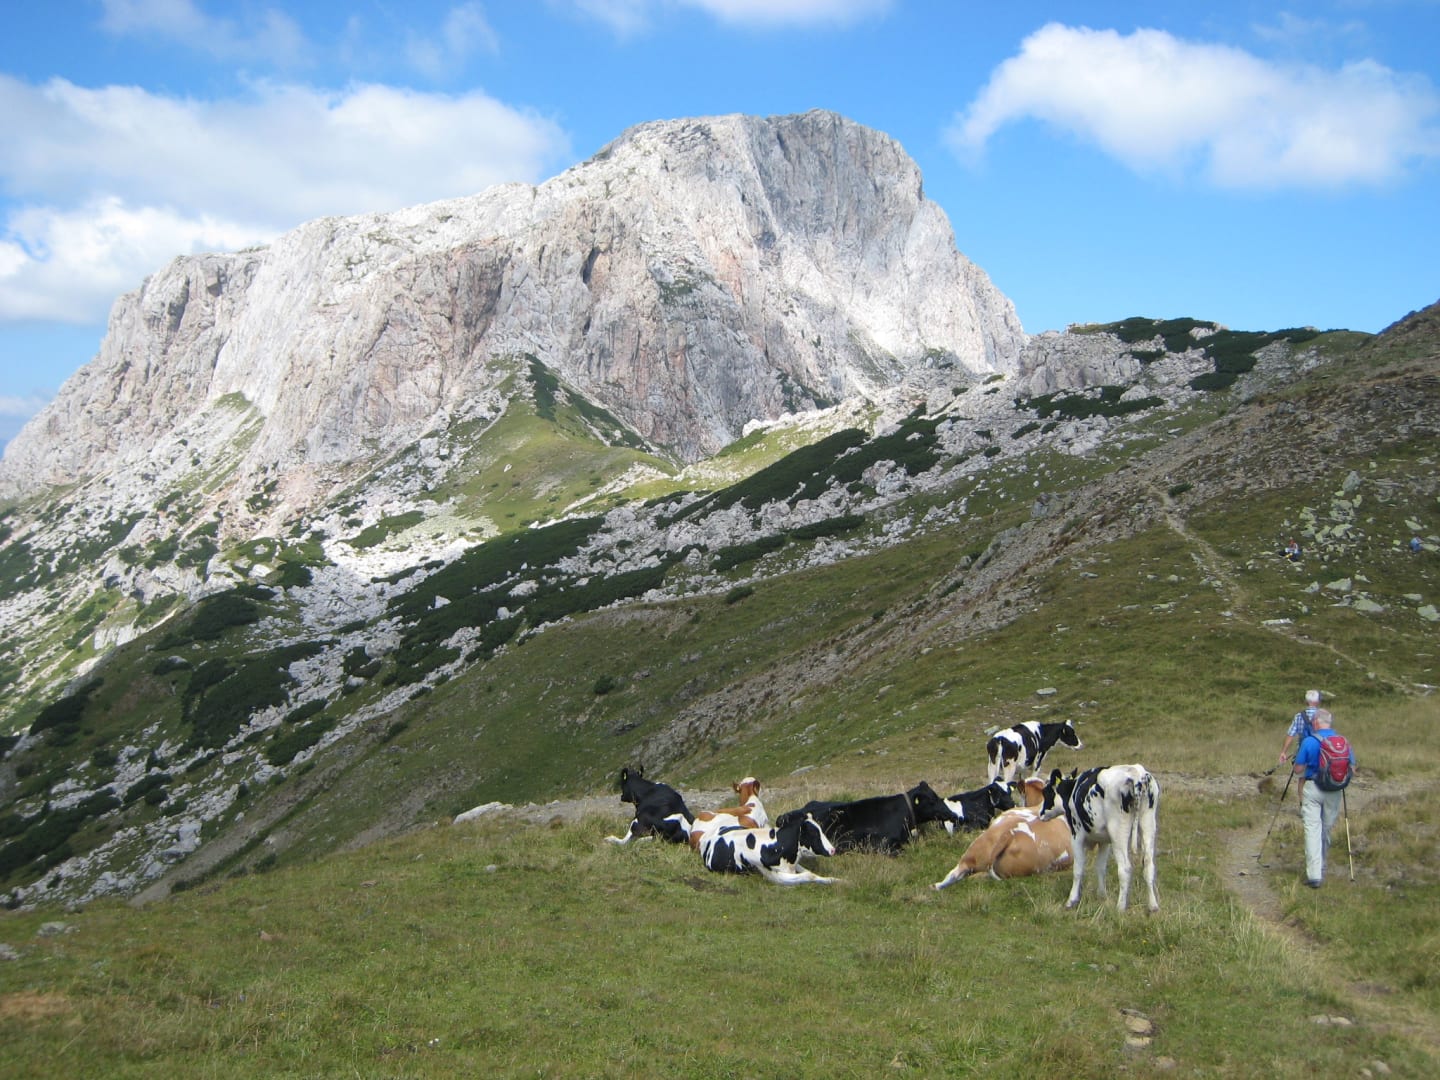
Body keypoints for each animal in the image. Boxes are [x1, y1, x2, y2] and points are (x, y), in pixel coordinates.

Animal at [697, 812, 839, 885]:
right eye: (813, 833)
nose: (833, 850)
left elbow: (812, 873)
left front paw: (836, 880)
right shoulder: (774, 876)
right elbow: (808, 875)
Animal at [1040, 764, 1160, 912]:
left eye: (1046, 792)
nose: (1040, 813)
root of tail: (1137, 775)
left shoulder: (1076, 836)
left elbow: (1078, 869)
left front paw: (1071, 900)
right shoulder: (1104, 842)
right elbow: (1101, 867)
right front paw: (1102, 895)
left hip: (1118, 832)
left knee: (1125, 868)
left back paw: (1120, 907)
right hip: (1148, 823)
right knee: (1148, 865)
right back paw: (1153, 906)